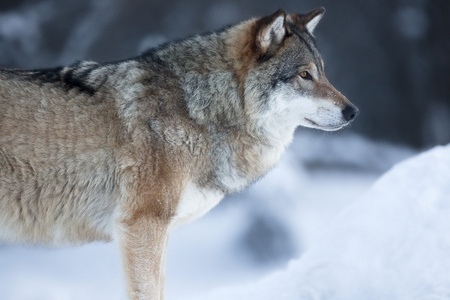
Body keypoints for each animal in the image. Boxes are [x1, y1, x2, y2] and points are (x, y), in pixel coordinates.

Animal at [0, 7, 358, 300]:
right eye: (304, 75)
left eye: (323, 72)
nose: (353, 111)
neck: (200, 109)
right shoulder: (144, 223)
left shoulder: (160, 229)